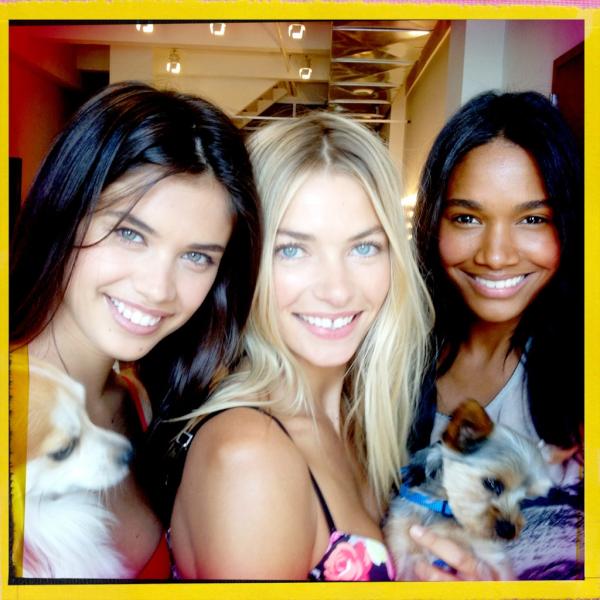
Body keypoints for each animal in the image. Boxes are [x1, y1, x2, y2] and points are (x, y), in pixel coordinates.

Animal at [384, 399, 552, 580]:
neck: (441, 506)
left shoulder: (490, 555)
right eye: (492, 483)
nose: (508, 531)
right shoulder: (404, 551)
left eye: (523, 499)